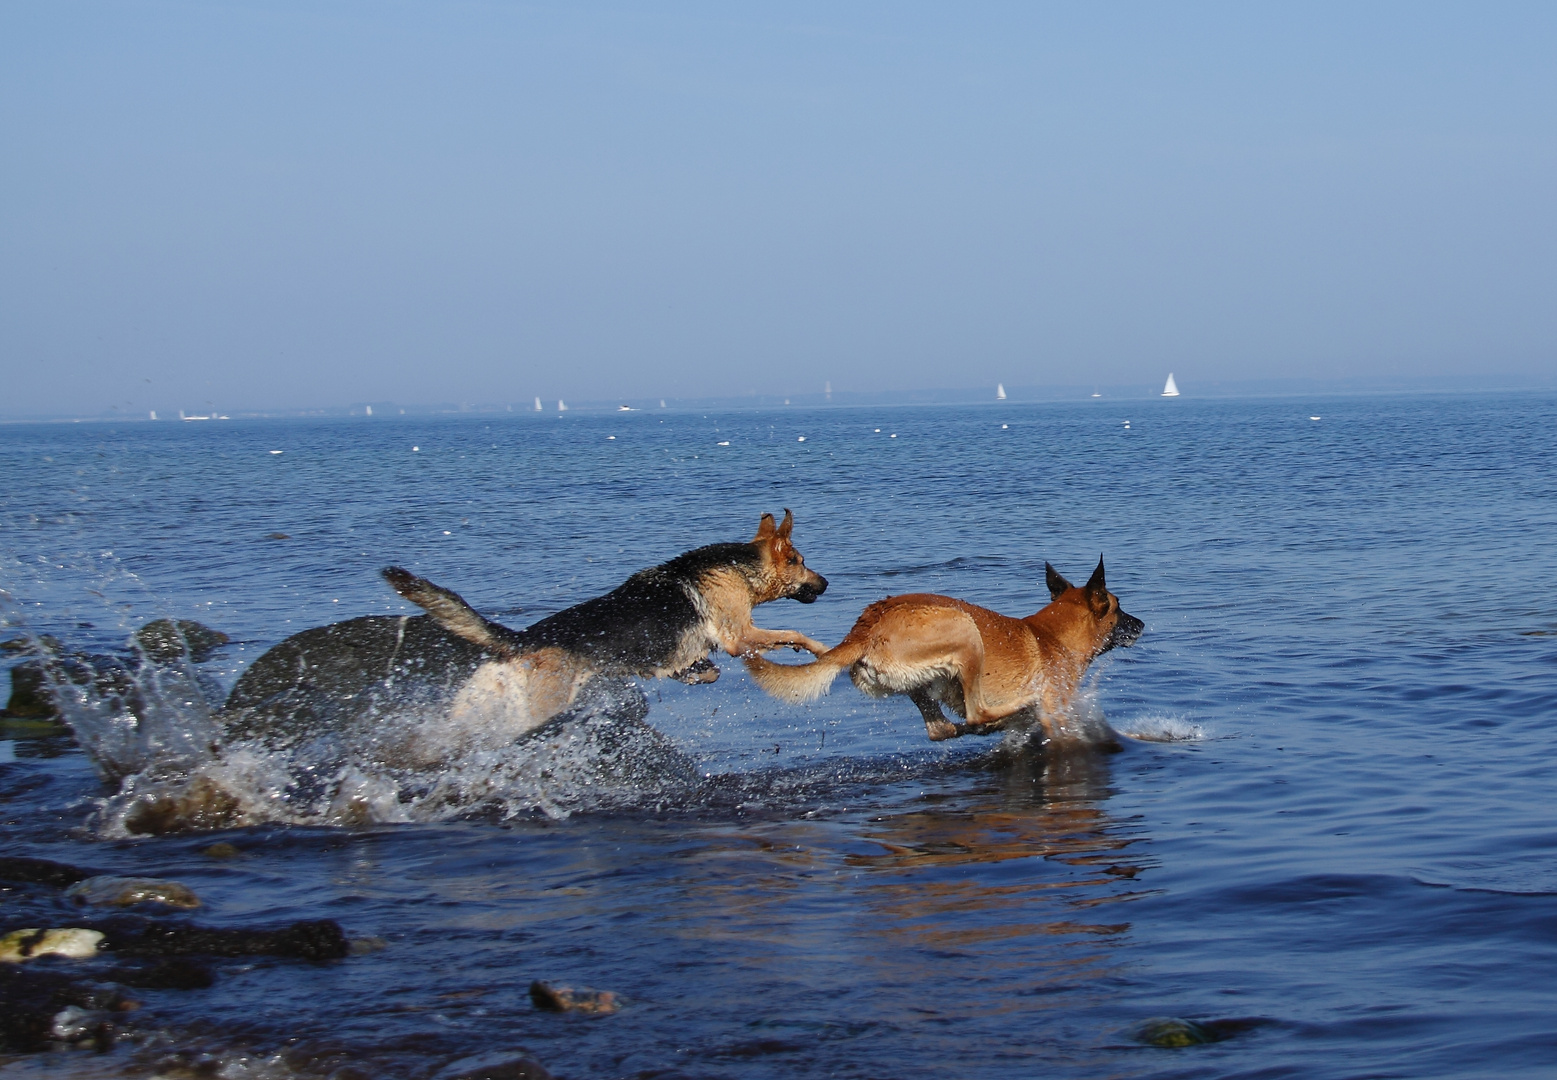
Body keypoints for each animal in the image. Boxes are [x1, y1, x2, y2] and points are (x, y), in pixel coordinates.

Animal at [741, 557, 1145, 743]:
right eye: (1119, 607)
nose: (1141, 624)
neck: (1051, 635)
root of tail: (866, 629)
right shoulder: (1058, 711)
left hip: (916, 683)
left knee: (943, 729)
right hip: (966, 633)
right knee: (977, 713)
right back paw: (1016, 707)